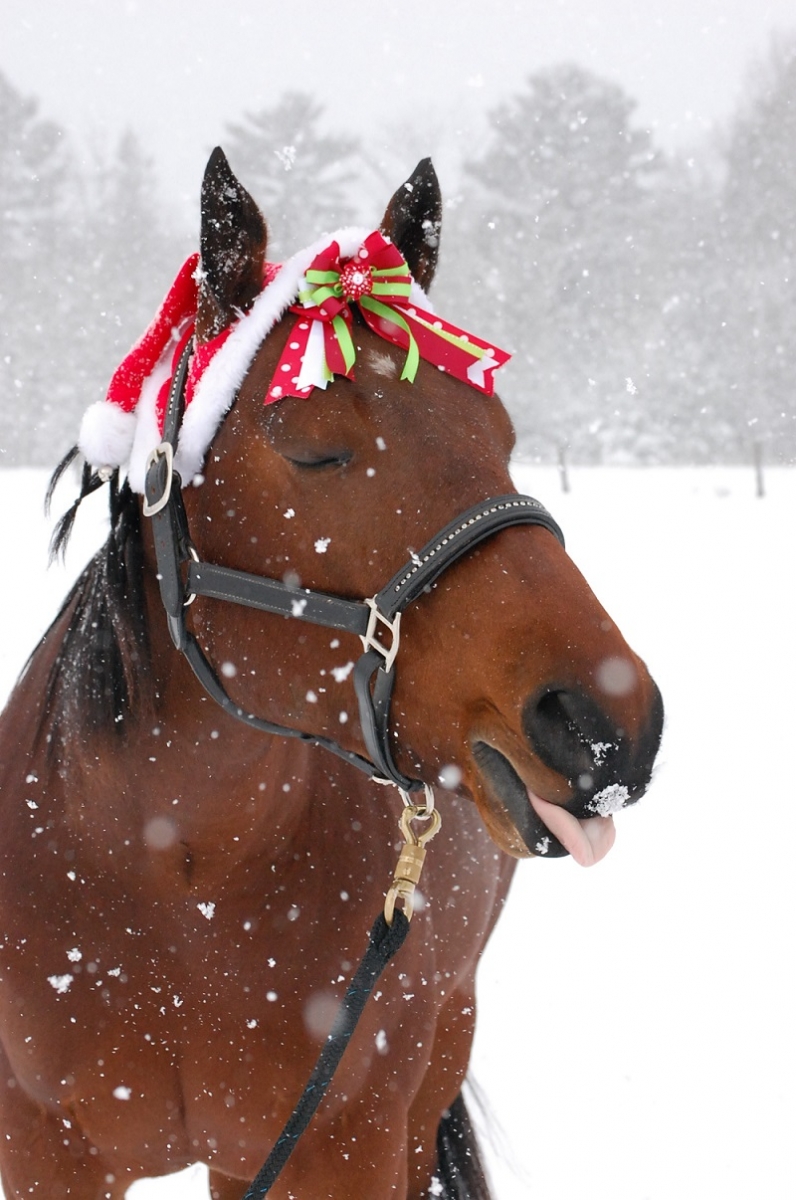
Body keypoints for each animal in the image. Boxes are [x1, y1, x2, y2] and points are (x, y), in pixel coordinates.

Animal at [0, 148, 663, 1200]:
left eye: (502, 436)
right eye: (313, 451)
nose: (608, 723)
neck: (176, 879)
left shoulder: (345, 1141)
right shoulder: (43, 1148)